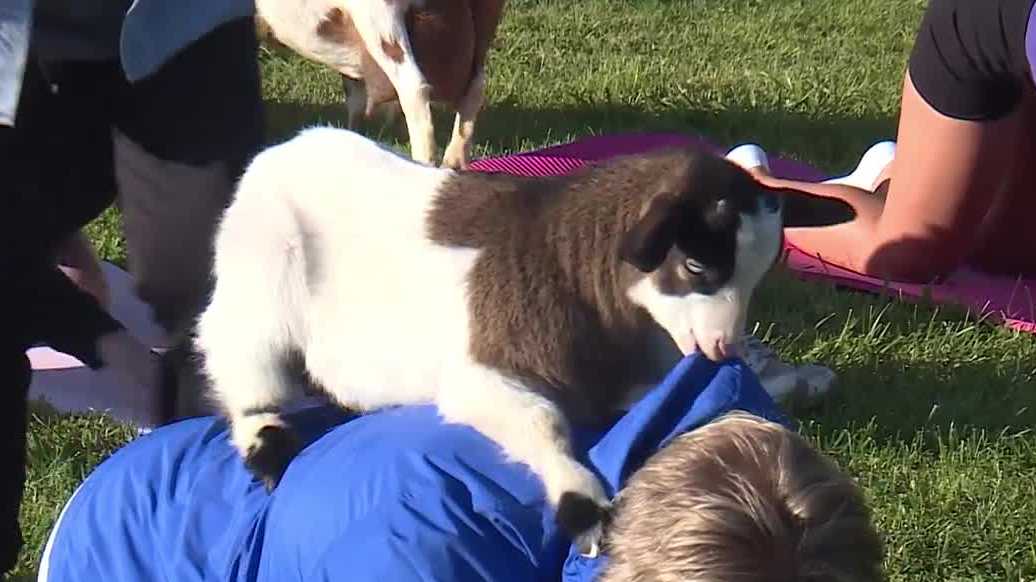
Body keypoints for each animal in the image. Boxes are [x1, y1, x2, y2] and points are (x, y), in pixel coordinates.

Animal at [192, 126, 855, 555]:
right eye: (696, 265)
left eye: (760, 274)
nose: (722, 348)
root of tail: (281, 152)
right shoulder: (484, 374)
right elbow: (543, 422)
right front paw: (582, 507)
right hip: (258, 290)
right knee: (242, 371)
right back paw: (268, 446)